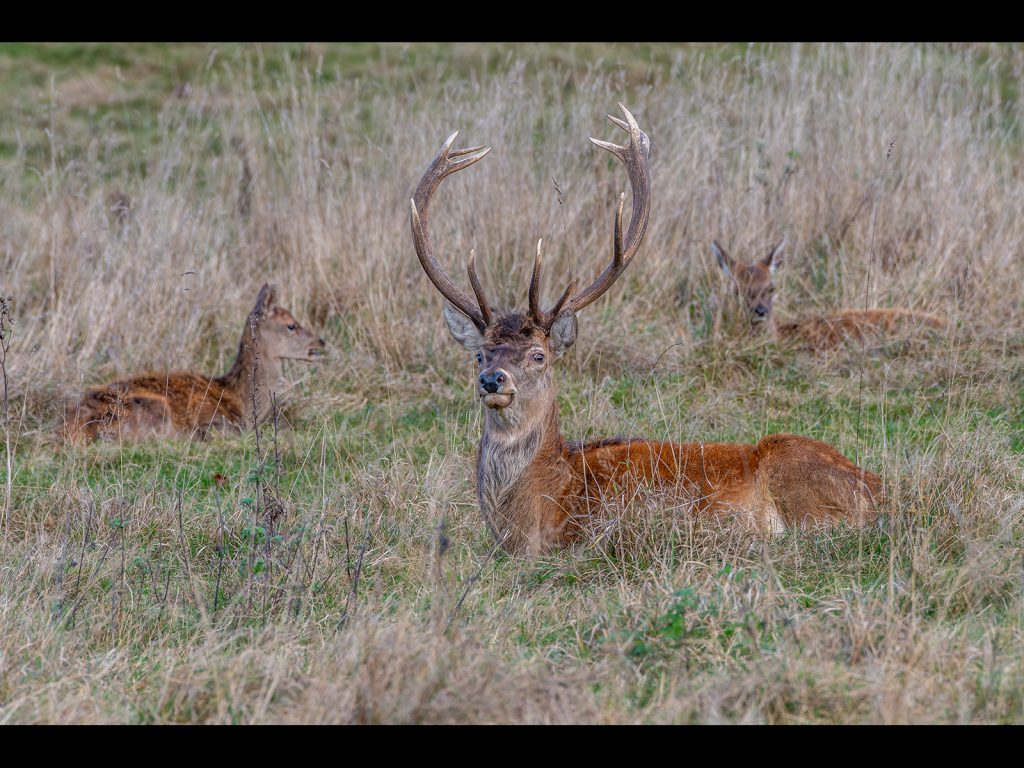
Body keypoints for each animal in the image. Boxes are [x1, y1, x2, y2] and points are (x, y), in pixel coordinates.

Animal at [62, 283, 326, 444]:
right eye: (291, 325)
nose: (321, 343)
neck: (238, 397)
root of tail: (73, 428)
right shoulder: (218, 424)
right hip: (152, 413)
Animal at [411, 104, 881, 556]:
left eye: (538, 356)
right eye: (480, 354)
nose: (493, 380)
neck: (537, 513)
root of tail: (880, 489)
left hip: (799, 484)